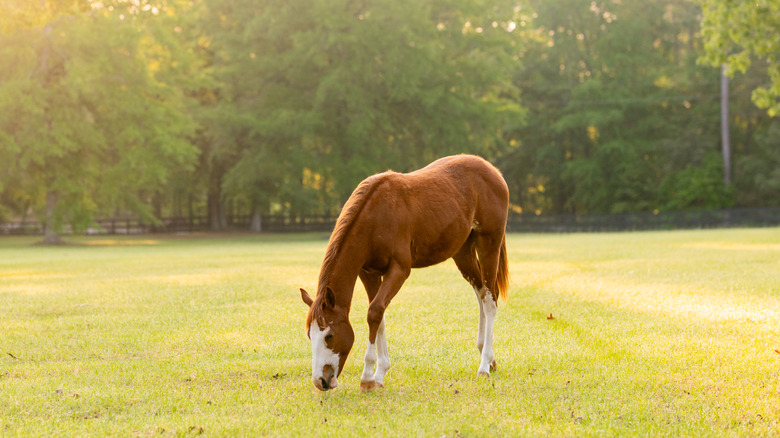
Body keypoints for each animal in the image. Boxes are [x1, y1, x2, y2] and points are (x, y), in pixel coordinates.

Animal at [300, 154, 509, 391]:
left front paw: (367, 377)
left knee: (490, 299)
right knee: (480, 292)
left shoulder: (399, 270)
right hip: (463, 252)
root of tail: (492, 171)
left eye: (330, 335)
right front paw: (379, 374)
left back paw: (484, 365)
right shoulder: (369, 273)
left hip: (489, 244)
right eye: (310, 335)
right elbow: (378, 315)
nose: (321, 381)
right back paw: (489, 359)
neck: (375, 215)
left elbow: (374, 312)